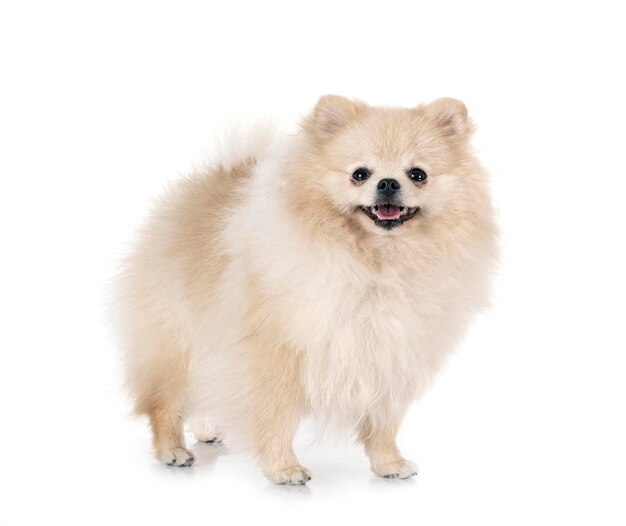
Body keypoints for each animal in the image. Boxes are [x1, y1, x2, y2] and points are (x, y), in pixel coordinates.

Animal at [113, 96, 498, 486]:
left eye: (418, 174)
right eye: (360, 173)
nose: (388, 183)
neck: (377, 263)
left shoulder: (390, 356)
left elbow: (383, 423)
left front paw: (389, 462)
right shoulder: (276, 354)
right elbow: (277, 418)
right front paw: (284, 468)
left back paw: (208, 428)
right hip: (178, 343)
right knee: (165, 401)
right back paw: (173, 450)